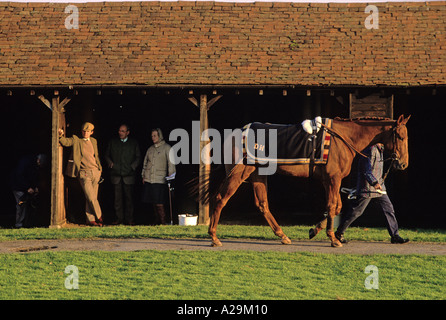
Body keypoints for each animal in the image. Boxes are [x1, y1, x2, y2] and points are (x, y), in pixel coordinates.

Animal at [204, 115, 410, 248]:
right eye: (401, 136)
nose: (403, 163)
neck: (343, 139)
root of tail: (235, 133)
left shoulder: (329, 181)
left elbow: (335, 207)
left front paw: (317, 230)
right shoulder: (333, 179)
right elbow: (333, 206)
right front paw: (333, 238)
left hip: (257, 173)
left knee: (262, 204)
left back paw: (282, 235)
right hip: (239, 172)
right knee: (221, 198)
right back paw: (213, 237)